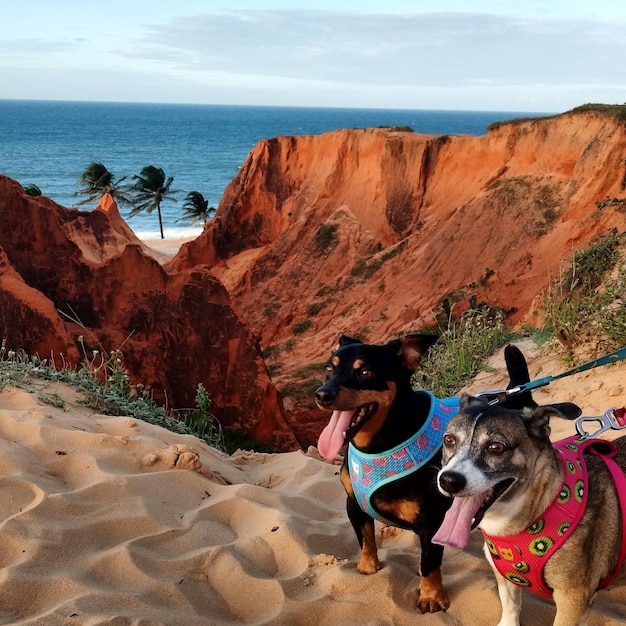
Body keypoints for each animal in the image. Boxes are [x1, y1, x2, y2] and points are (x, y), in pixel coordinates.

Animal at [314, 334, 544, 612]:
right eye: (329, 369)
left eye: (366, 372)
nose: (322, 395)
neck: (379, 446)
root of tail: (516, 391)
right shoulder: (353, 504)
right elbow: (366, 540)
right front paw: (367, 568)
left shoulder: (431, 523)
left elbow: (429, 563)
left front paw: (432, 596)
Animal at [432, 394, 624, 624]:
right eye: (449, 440)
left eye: (496, 447)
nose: (449, 480)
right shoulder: (504, 579)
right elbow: (510, 608)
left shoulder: (573, 601)